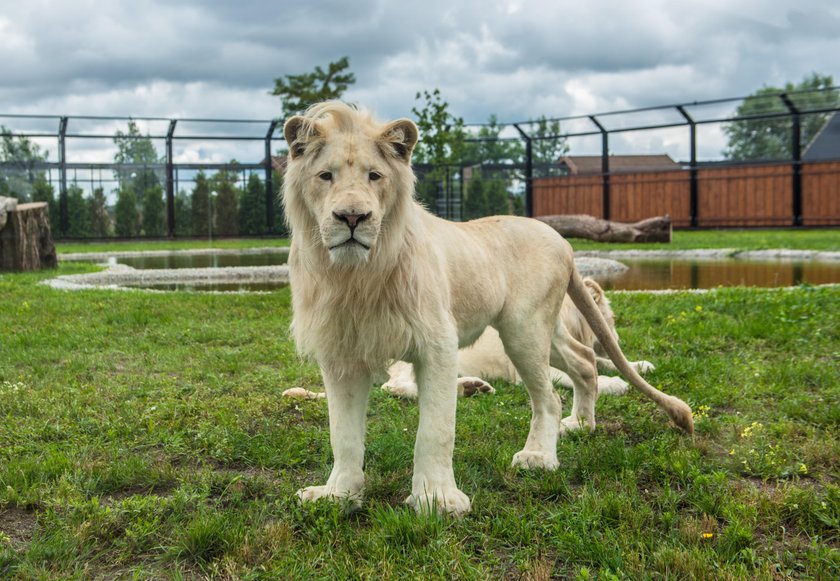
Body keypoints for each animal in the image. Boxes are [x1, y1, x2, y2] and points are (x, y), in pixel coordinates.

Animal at [280, 102, 688, 516]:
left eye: (374, 175)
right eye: (325, 176)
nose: (352, 217)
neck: (355, 276)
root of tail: (563, 241)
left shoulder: (437, 343)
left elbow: (436, 429)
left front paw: (437, 500)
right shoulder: (341, 353)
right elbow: (342, 434)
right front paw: (338, 495)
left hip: (523, 330)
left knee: (550, 397)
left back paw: (539, 455)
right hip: (546, 329)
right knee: (585, 360)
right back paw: (581, 424)